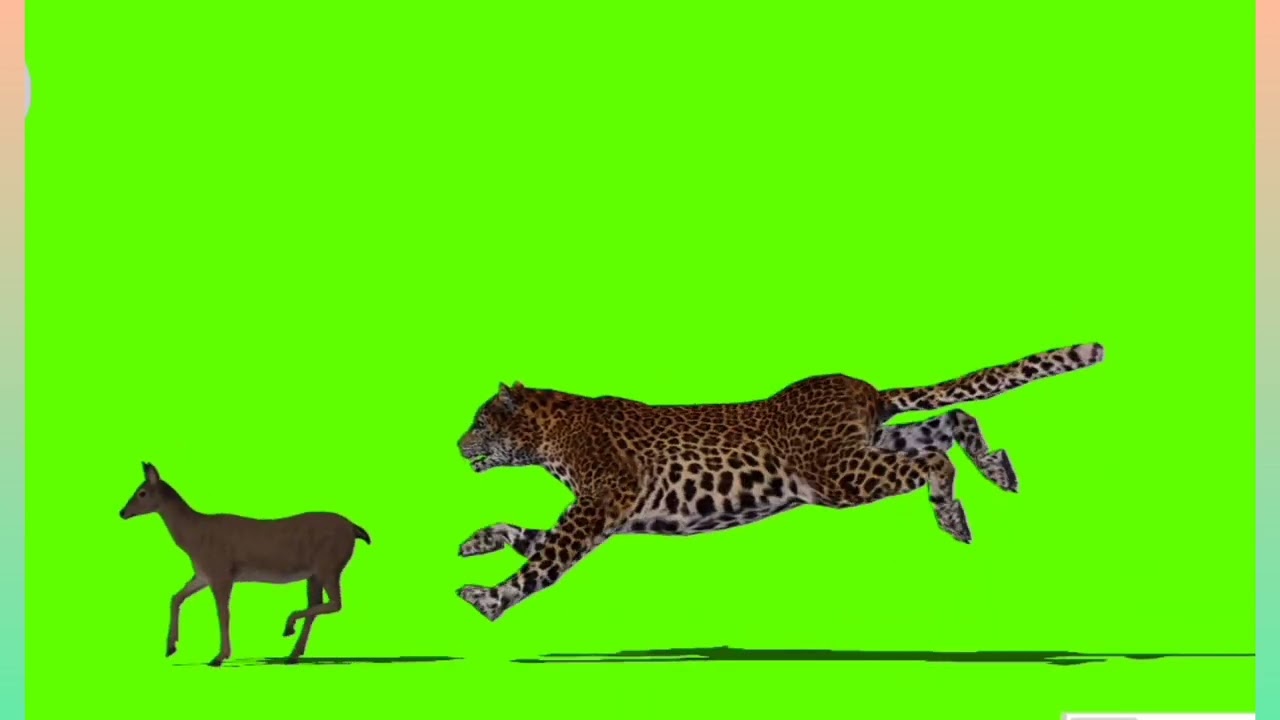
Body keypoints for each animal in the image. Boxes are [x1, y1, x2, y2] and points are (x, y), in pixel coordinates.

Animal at [118, 461, 371, 666]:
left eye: (141, 493)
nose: (122, 512)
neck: (194, 537)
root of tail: (354, 529)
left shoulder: (221, 572)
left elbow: (223, 613)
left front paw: (219, 657)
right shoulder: (203, 574)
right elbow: (176, 597)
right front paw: (171, 647)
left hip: (330, 564)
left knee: (336, 603)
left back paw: (288, 626)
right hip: (315, 573)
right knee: (320, 604)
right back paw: (292, 654)